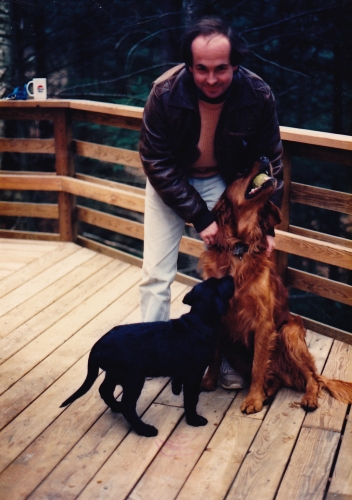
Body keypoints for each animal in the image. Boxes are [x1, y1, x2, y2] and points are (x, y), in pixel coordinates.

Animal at [60, 276, 234, 436]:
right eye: (221, 283)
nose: (230, 276)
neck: (199, 321)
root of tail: (97, 346)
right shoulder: (194, 374)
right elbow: (191, 399)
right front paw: (194, 420)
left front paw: (176, 390)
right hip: (133, 377)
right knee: (127, 406)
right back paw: (144, 429)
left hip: (115, 373)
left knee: (105, 390)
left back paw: (116, 407)